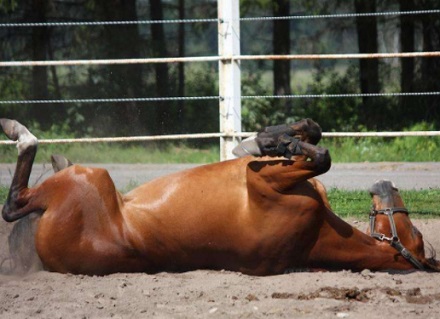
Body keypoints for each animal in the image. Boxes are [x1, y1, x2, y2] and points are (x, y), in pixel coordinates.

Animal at [0, 119, 440, 276]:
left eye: (417, 233)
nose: (386, 185)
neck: (314, 236)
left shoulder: (265, 185)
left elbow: (322, 156)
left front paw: (273, 142)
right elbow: (312, 139)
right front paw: (271, 139)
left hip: (90, 179)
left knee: (15, 203)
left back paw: (20, 132)